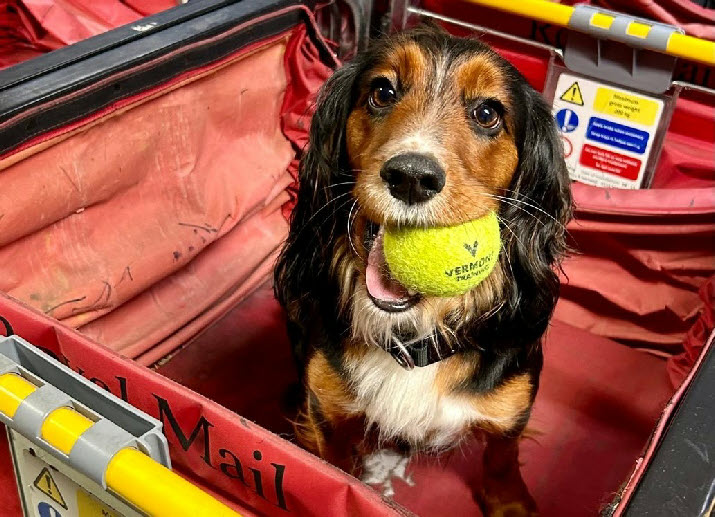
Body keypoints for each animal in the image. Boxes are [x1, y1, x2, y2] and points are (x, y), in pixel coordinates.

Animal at [274, 26, 572, 512]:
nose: (411, 177)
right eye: (382, 92)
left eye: (487, 113)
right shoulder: (326, 412)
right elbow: (333, 469)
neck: (413, 337)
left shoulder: (513, 403)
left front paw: (509, 500)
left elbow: (503, 453)